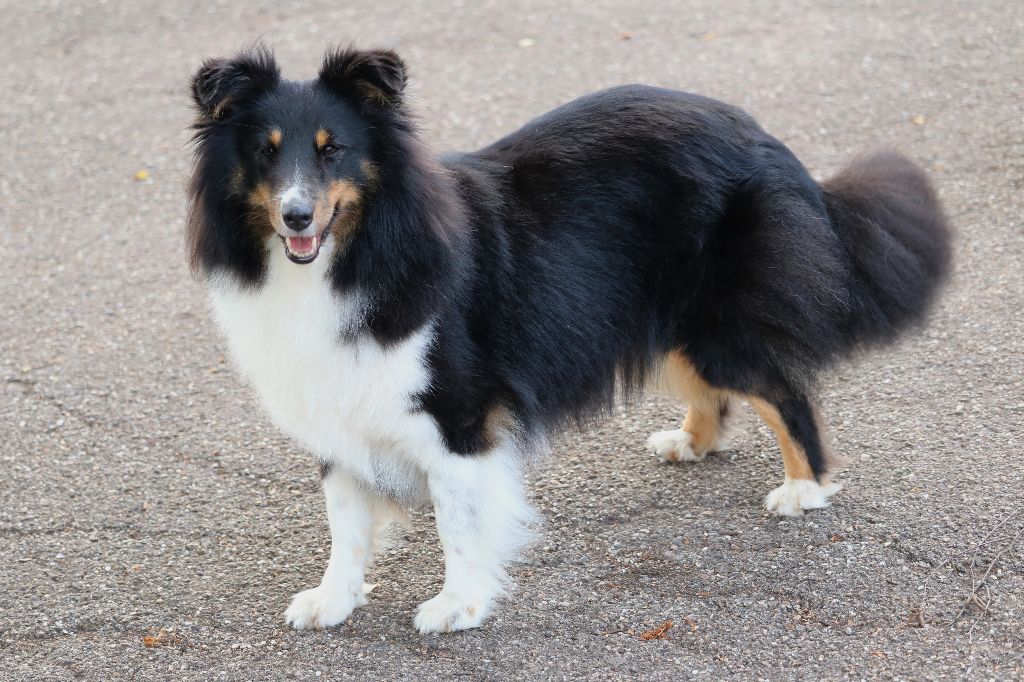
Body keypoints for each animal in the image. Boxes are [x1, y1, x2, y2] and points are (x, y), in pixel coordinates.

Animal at [184, 46, 950, 630]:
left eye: (333, 150)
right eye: (265, 155)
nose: (297, 217)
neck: (360, 248)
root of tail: (767, 139)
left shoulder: (458, 411)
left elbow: (457, 519)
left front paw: (457, 608)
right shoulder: (335, 397)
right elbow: (345, 521)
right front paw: (332, 603)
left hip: (712, 324)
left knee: (785, 392)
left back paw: (804, 489)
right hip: (656, 316)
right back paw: (691, 442)